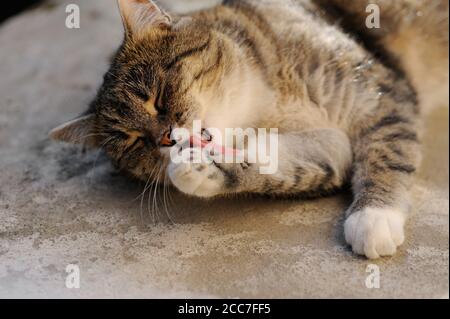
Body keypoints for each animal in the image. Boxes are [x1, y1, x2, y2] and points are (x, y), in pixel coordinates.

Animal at [49, 0, 446, 260]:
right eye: (133, 142)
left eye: (157, 97)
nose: (166, 137)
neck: (264, 106)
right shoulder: (330, 152)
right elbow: (278, 167)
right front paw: (200, 172)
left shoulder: (381, 94)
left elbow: (388, 149)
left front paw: (374, 217)